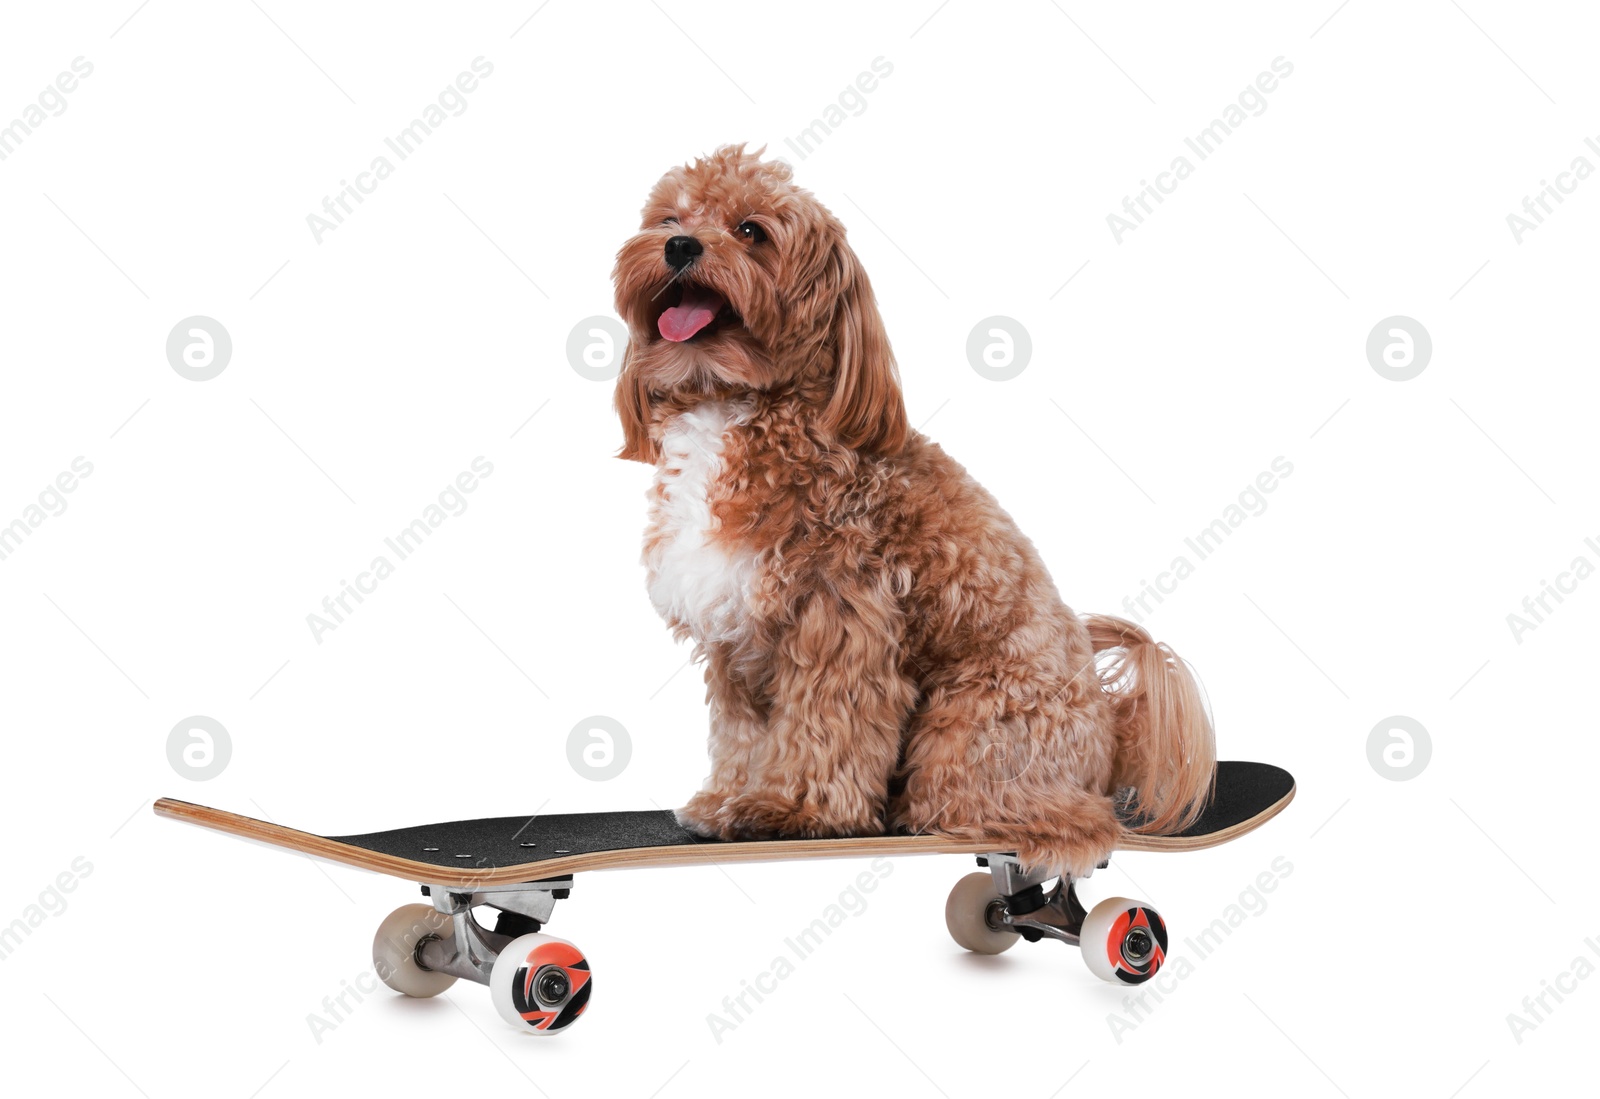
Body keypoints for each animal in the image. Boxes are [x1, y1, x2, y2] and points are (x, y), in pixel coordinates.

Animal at [611, 143, 1209, 876]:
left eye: (751, 231)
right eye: (669, 218)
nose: (679, 246)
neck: (732, 404)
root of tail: (1112, 733)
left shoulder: (841, 614)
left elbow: (823, 721)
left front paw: (794, 809)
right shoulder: (737, 634)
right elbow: (742, 730)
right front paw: (730, 798)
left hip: (972, 724)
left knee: (1049, 818)